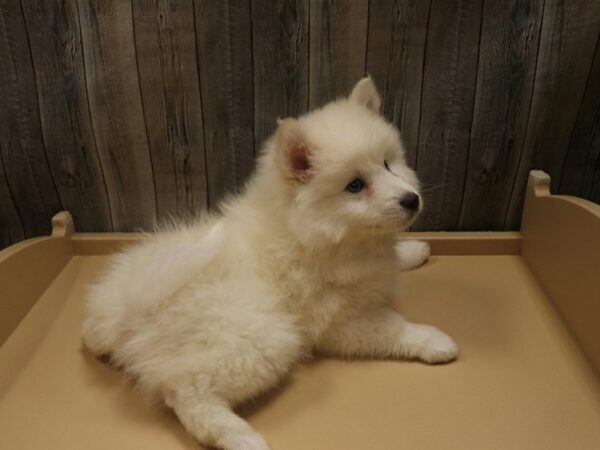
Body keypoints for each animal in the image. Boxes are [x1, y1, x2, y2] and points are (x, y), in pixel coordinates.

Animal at [82, 77, 458, 450]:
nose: (411, 200)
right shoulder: (340, 323)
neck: (320, 236)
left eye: (387, 164)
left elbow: (395, 259)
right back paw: (242, 438)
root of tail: (126, 308)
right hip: (261, 337)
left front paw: (414, 250)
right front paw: (434, 341)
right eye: (355, 185)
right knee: (187, 392)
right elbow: (393, 328)